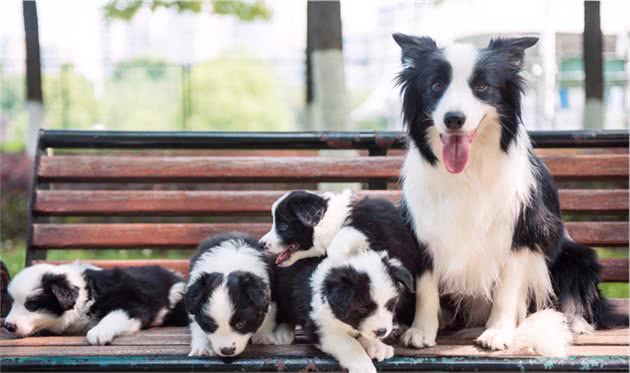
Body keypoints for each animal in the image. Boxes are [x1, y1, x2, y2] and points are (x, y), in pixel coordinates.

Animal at [1, 262, 188, 342]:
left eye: (32, 305)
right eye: (12, 303)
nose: (8, 326)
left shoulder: (131, 303)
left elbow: (114, 316)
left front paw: (99, 332)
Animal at [276, 248, 414, 372]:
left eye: (390, 305)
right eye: (362, 309)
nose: (382, 332)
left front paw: (377, 346)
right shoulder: (320, 328)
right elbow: (349, 343)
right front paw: (362, 365)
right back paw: (282, 333)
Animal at [392, 32, 624, 354]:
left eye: (482, 87)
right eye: (436, 86)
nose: (454, 118)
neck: (469, 170)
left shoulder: (521, 232)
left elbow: (507, 288)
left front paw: (498, 331)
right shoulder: (424, 231)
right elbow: (426, 287)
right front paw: (421, 330)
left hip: (577, 257)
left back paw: (573, 323)